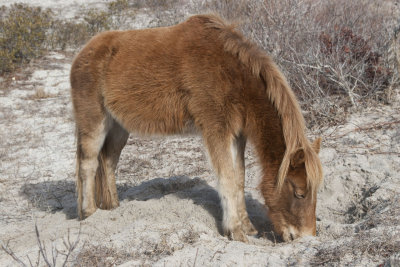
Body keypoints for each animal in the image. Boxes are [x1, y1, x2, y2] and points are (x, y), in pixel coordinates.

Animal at [70, 13, 324, 243]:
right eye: (299, 193)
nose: (306, 237)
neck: (231, 73)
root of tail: (82, 53)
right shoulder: (216, 130)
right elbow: (227, 178)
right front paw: (235, 231)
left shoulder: (237, 135)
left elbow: (239, 178)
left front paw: (247, 226)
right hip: (95, 122)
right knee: (88, 164)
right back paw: (89, 213)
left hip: (119, 129)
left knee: (108, 161)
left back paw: (113, 207)